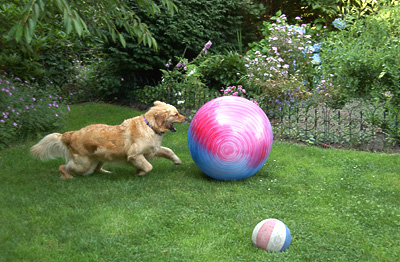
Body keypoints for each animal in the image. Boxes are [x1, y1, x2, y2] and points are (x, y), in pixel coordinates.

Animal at [30, 101, 186, 179]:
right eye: (176, 114)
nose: (186, 118)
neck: (150, 126)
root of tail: (70, 134)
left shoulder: (152, 149)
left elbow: (168, 150)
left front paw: (177, 160)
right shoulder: (134, 154)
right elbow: (148, 166)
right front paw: (140, 172)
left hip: (100, 157)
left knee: (97, 168)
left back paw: (107, 172)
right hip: (84, 164)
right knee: (64, 166)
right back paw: (67, 176)